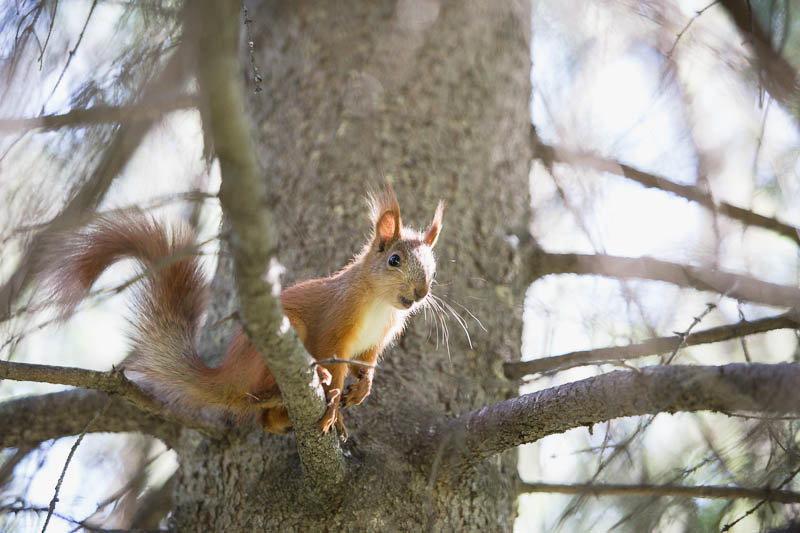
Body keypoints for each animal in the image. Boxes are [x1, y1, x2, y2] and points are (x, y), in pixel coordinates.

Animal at [39, 189, 444, 438]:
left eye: (434, 266)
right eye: (394, 260)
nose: (420, 293)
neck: (380, 304)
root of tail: (229, 374)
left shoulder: (375, 341)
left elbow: (367, 364)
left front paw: (362, 390)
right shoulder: (335, 325)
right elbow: (334, 358)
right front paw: (333, 400)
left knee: (265, 420)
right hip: (276, 348)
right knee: (259, 405)